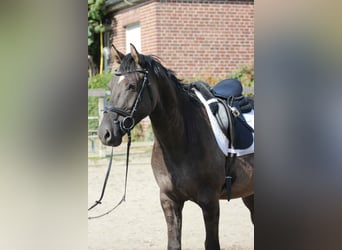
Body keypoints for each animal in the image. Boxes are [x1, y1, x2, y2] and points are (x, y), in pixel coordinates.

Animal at [97, 44, 252, 249]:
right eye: (110, 86)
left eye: (132, 86)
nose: (105, 133)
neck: (182, 139)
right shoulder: (169, 201)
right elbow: (174, 243)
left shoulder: (210, 203)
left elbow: (211, 243)